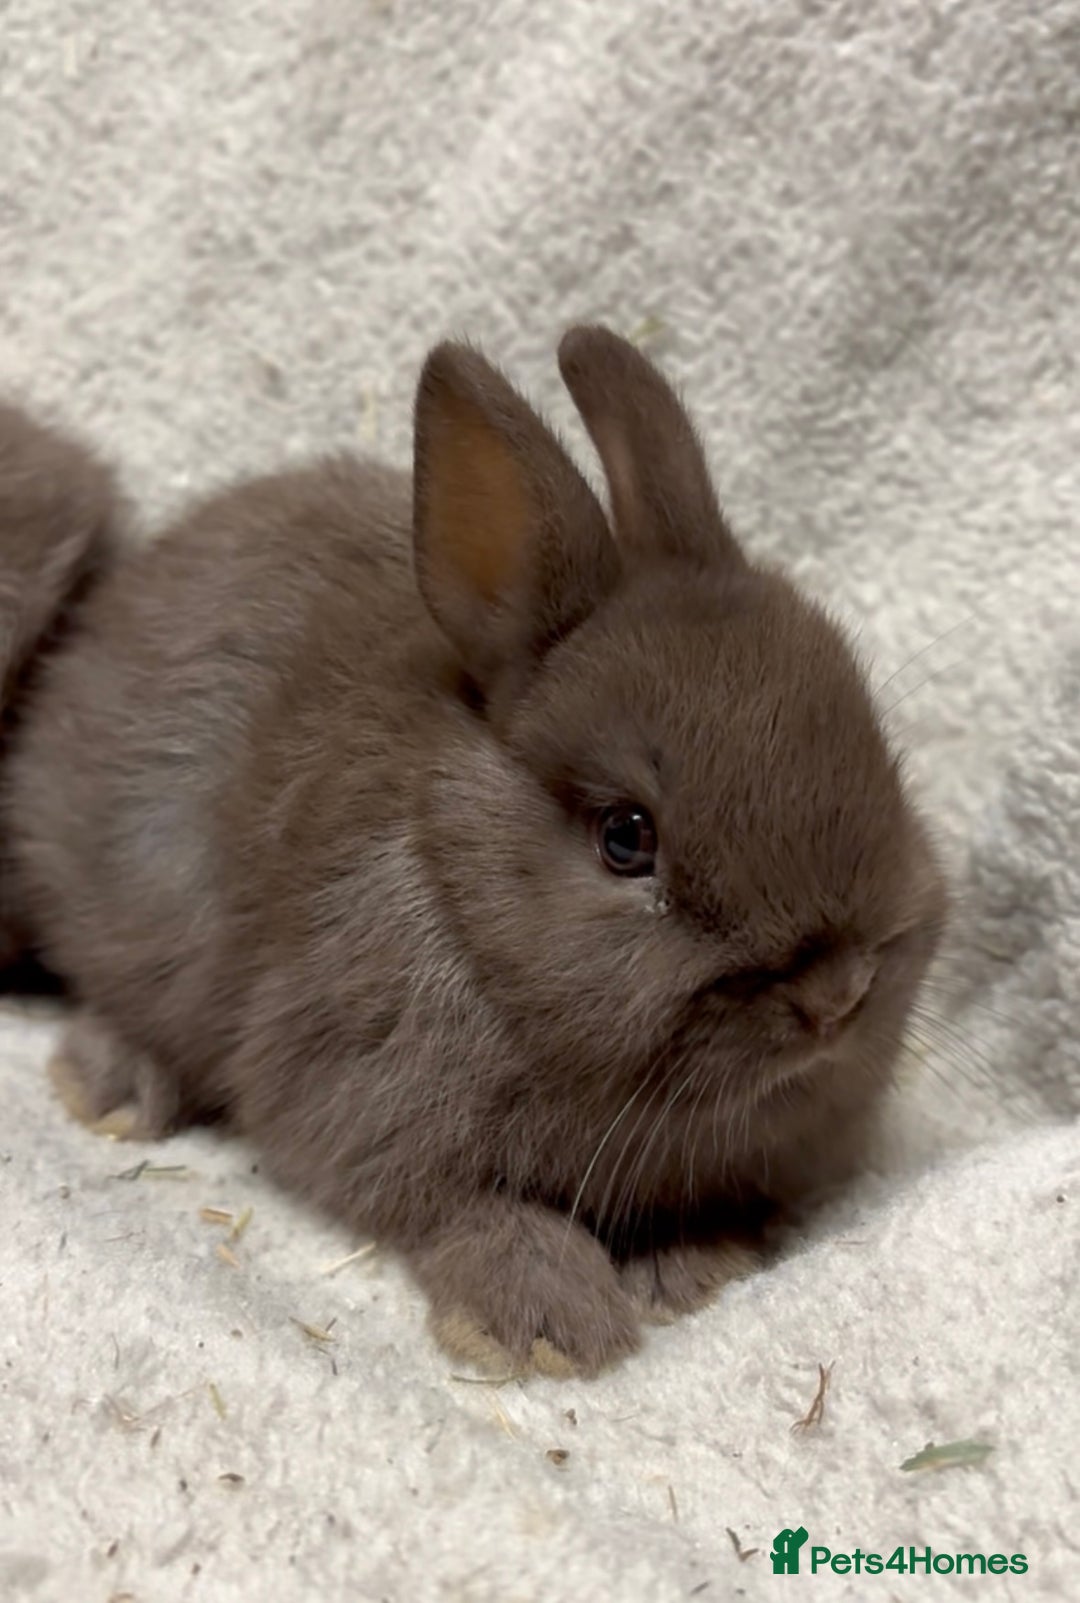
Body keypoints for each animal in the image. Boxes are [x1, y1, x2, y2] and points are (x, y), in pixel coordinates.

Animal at [1, 328, 946, 1375]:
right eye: (626, 837)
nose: (836, 996)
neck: (462, 894)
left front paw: (689, 1273)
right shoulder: (357, 1100)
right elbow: (462, 1209)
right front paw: (549, 1326)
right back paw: (115, 1089)